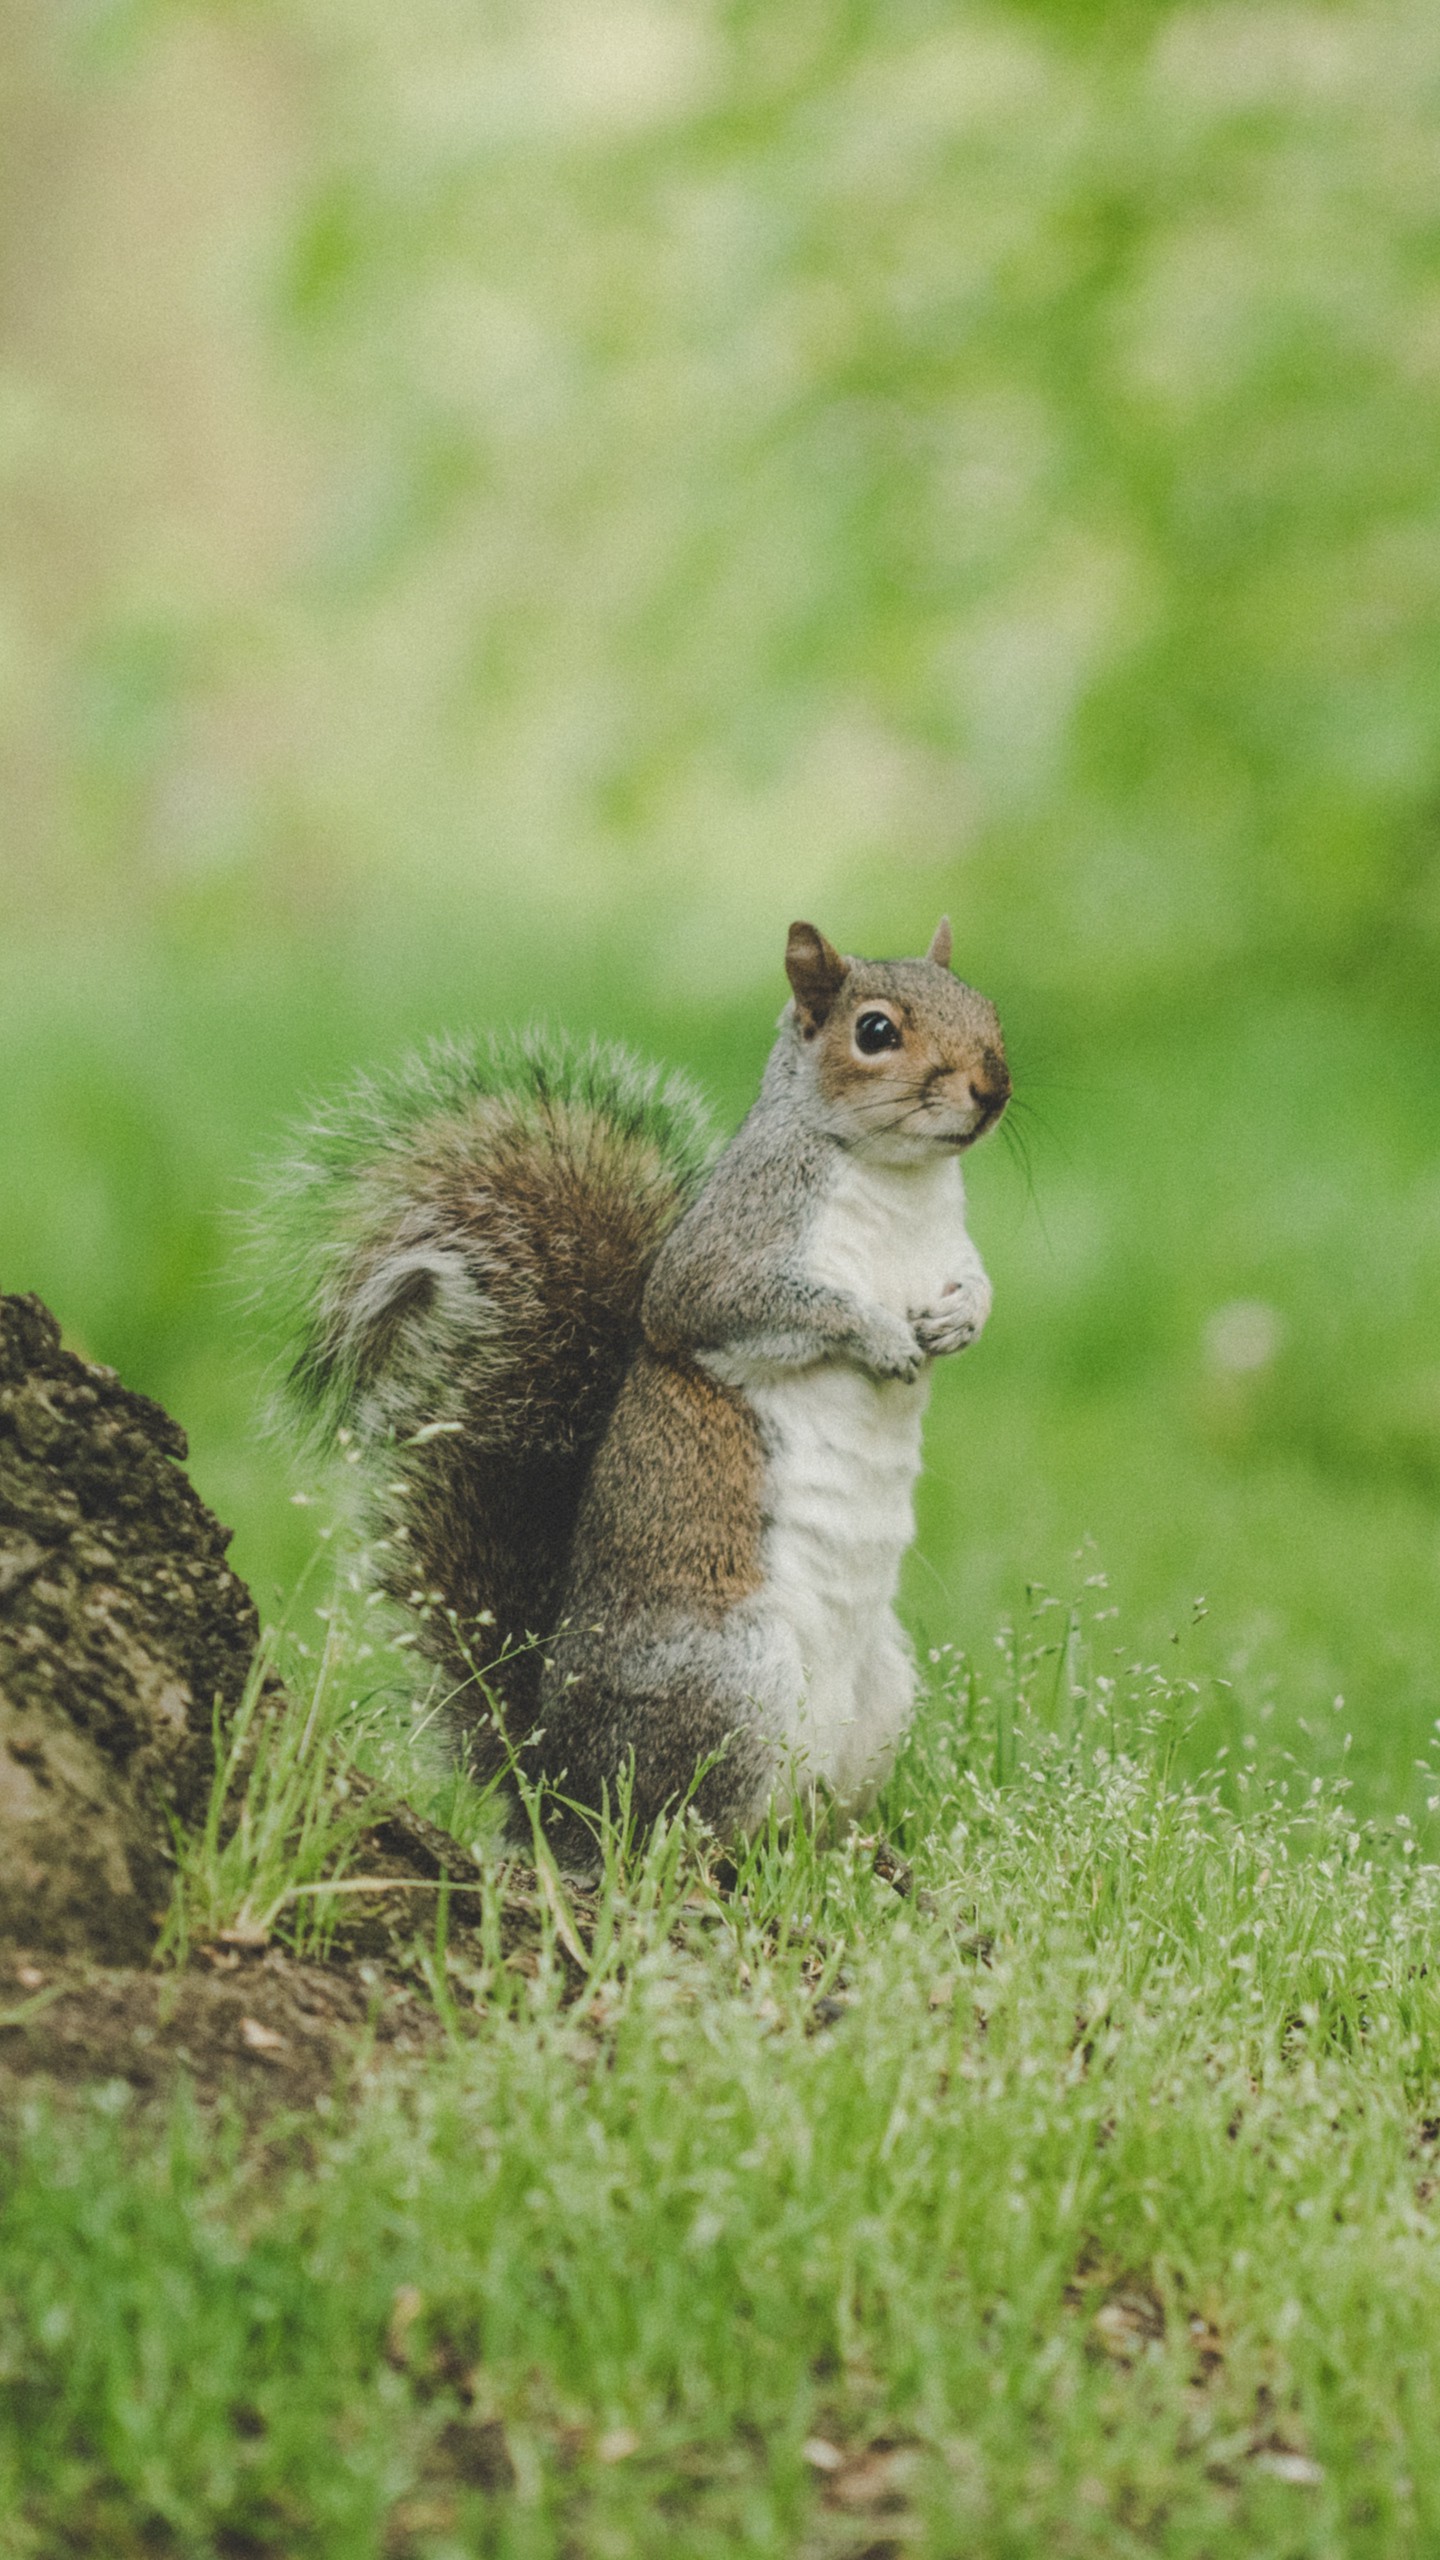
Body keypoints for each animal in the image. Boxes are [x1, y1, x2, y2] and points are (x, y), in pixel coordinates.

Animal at [263, 921, 1009, 1843]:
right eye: (875, 1032)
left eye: (988, 1007)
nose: (994, 1089)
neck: (901, 1182)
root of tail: (550, 1782)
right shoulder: (725, 1260)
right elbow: (763, 1304)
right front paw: (879, 1336)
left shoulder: (951, 1248)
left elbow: (977, 1284)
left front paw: (960, 1322)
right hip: (730, 1681)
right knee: (674, 1827)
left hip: (880, 1696)